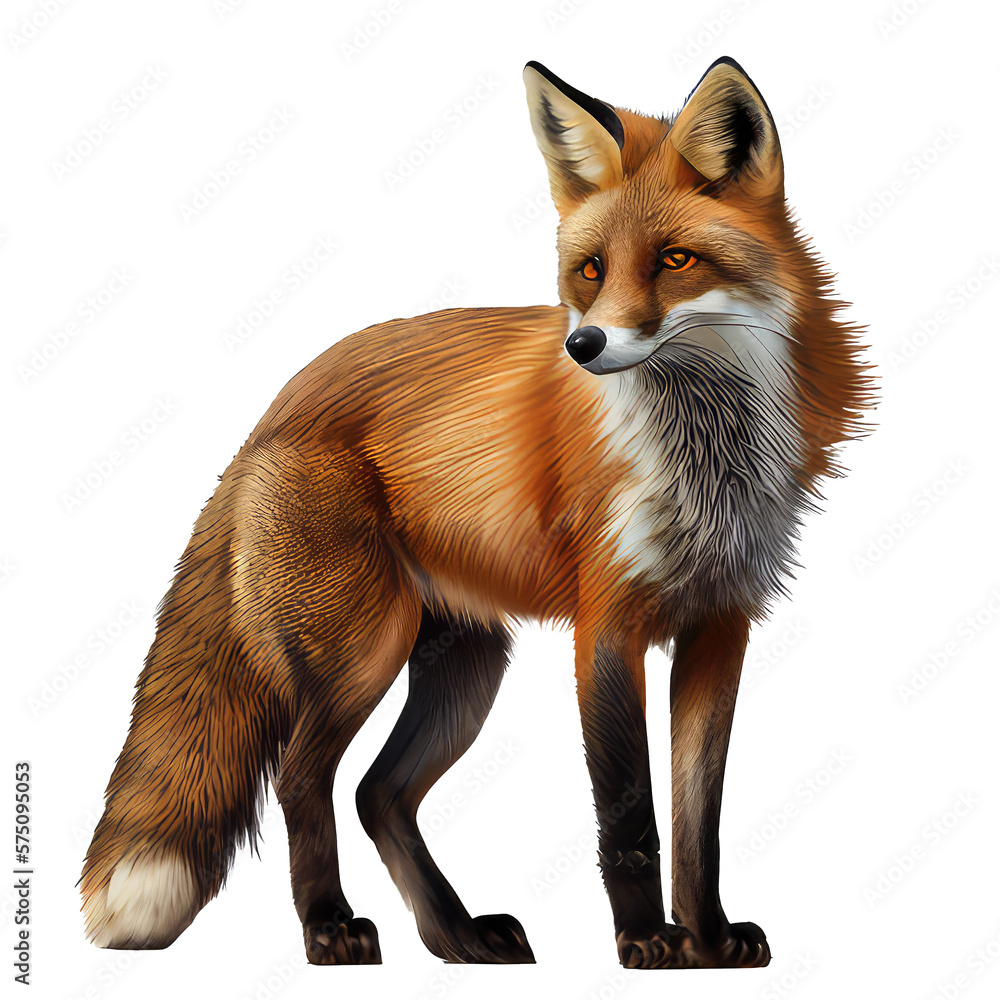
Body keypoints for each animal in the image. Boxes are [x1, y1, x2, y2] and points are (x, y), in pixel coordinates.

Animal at [80, 57, 872, 969]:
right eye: (590, 270)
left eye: (676, 260)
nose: (583, 347)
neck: (705, 452)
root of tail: (276, 410)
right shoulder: (608, 625)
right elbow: (631, 817)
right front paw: (645, 939)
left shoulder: (719, 625)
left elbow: (696, 819)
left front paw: (706, 939)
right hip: (361, 650)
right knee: (303, 778)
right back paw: (329, 926)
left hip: (466, 666)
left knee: (378, 793)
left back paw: (455, 935)